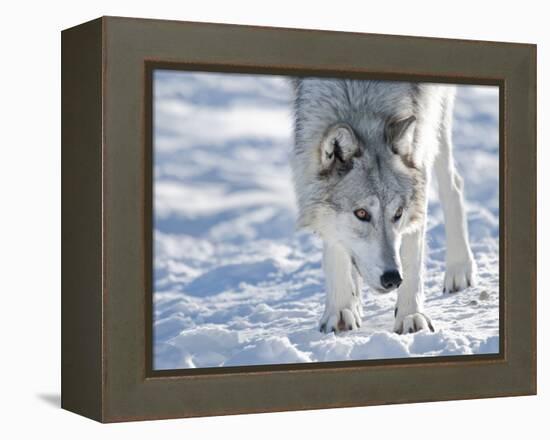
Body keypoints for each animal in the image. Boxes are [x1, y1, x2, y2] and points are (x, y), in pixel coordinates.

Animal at [294, 78, 478, 334]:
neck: (360, 97)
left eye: (398, 213)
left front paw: (411, 315)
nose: (392, 278)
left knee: (453, 185)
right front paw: (340, 310)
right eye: (361, 213)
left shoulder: (422, 130)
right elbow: (334, 244)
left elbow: (412, 252)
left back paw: (459, 268)